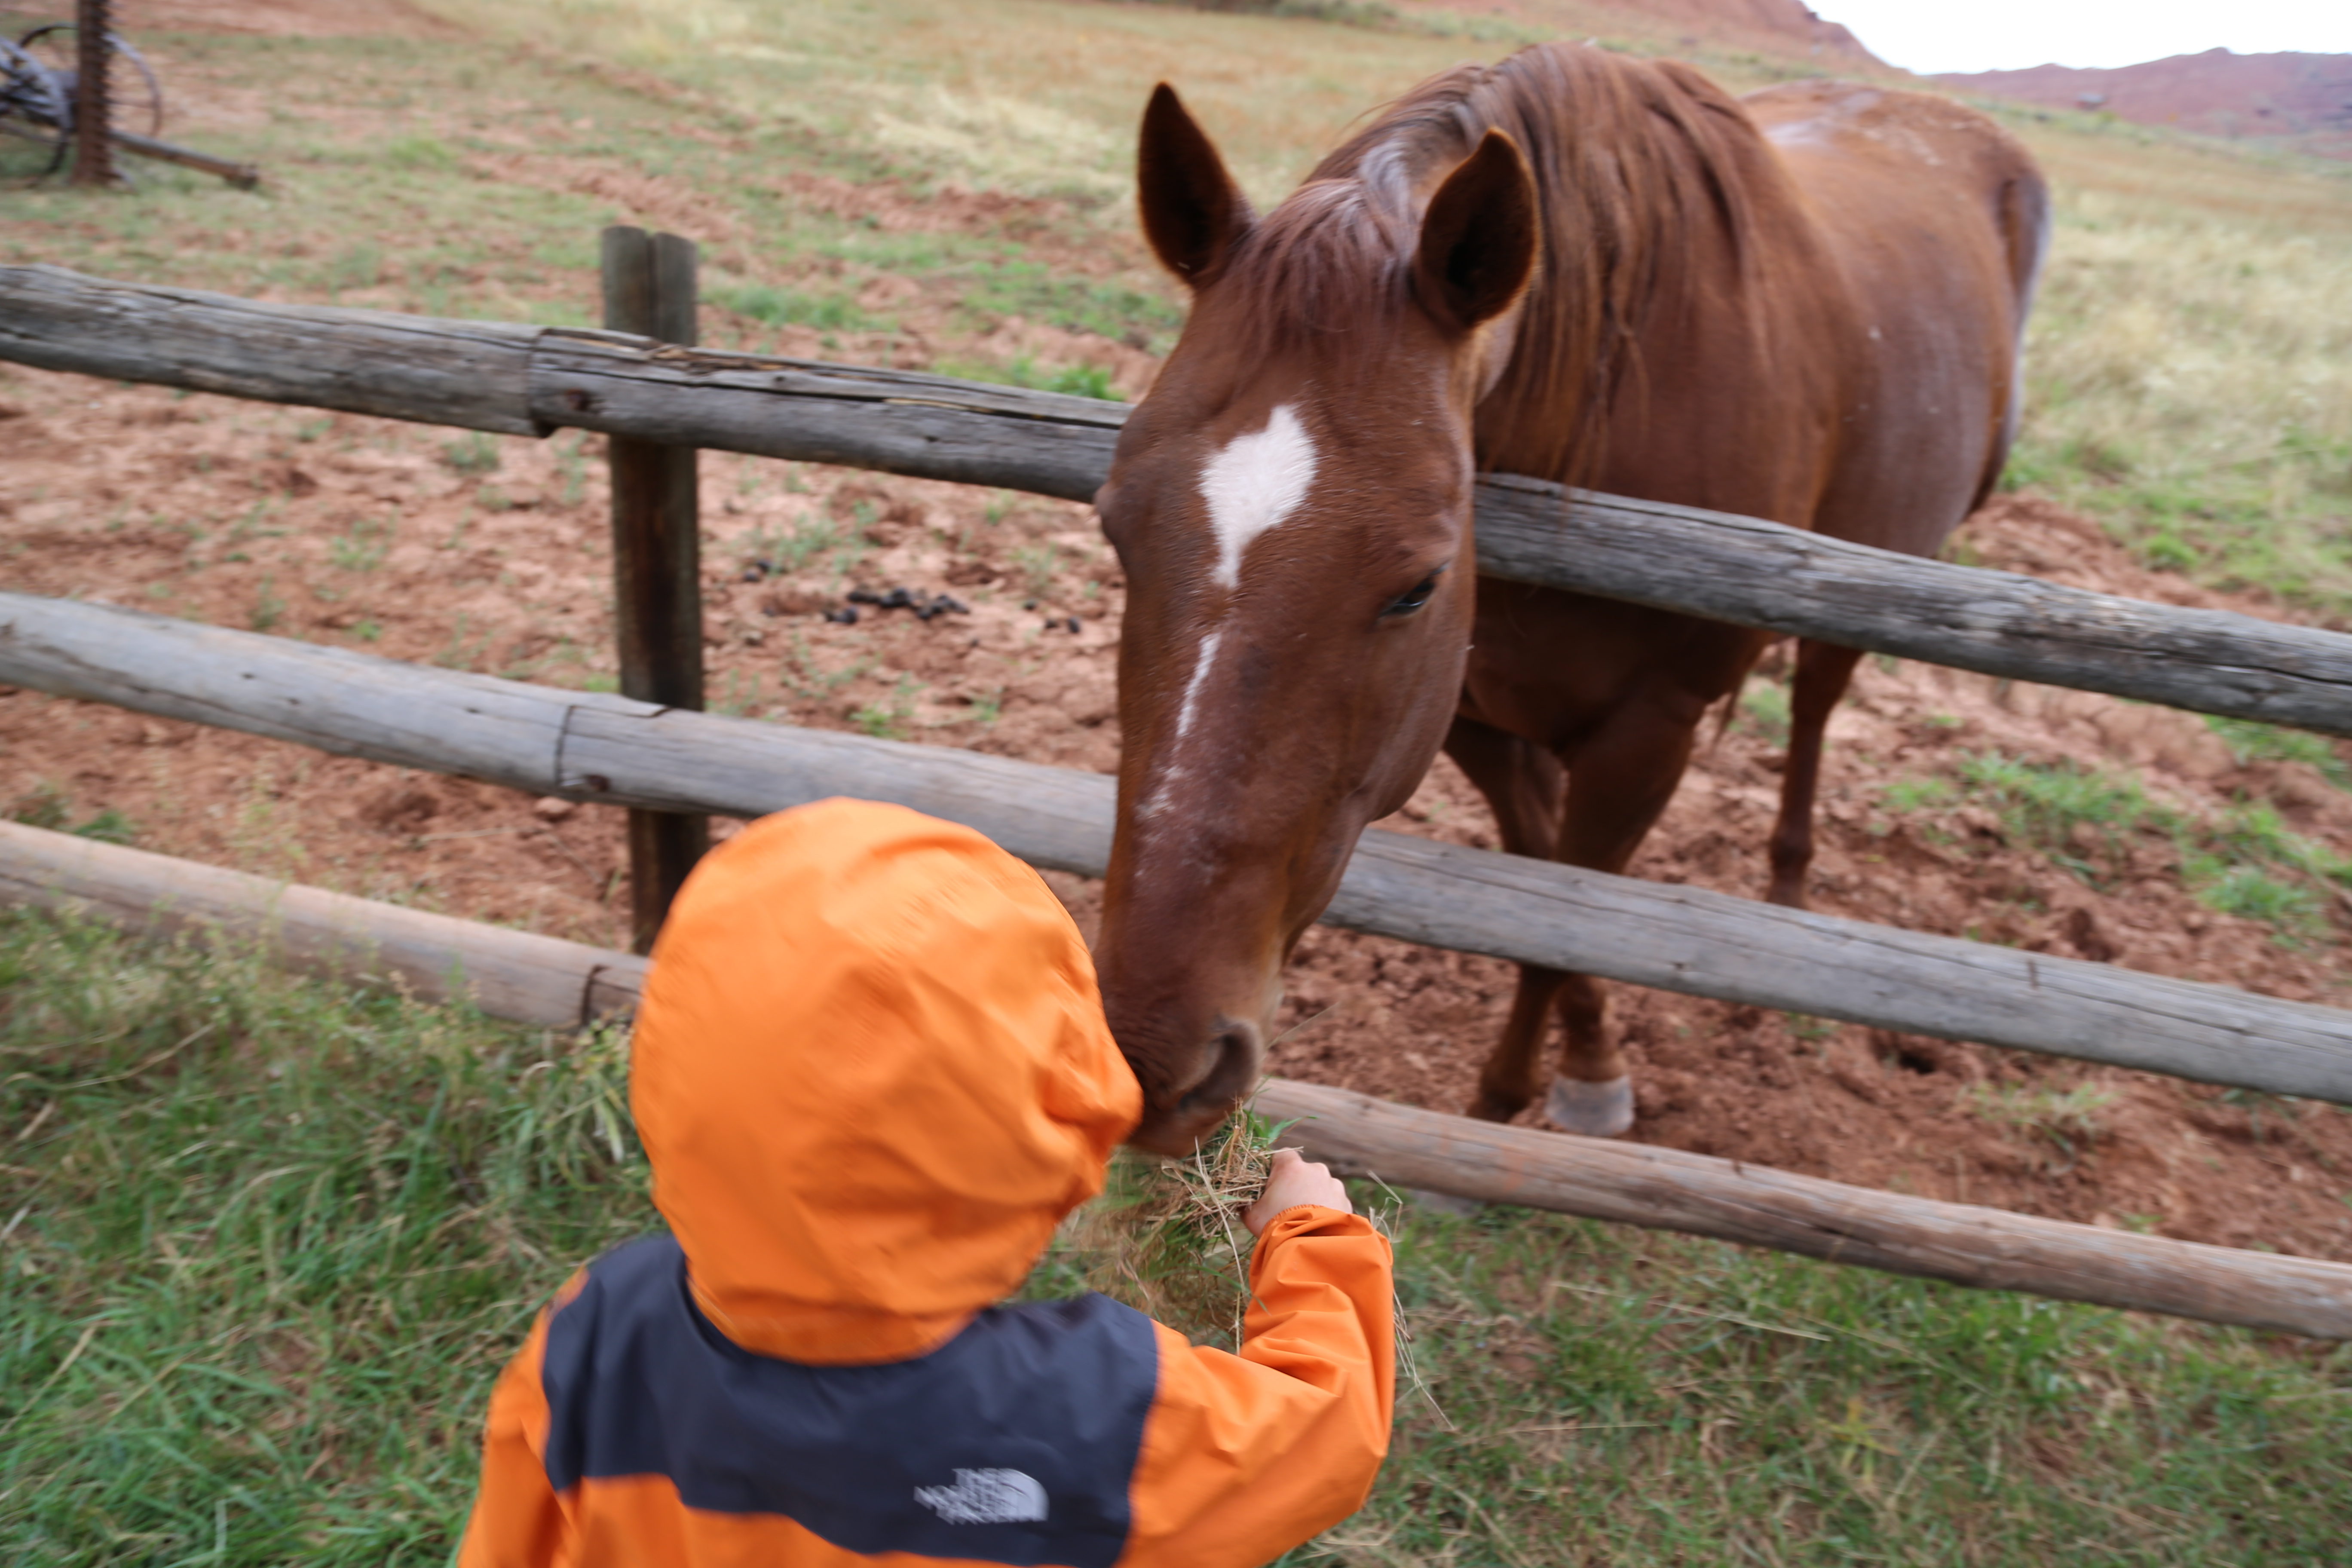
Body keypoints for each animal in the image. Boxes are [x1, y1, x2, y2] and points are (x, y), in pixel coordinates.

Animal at [1091, 46, 2051, 1152]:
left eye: (1418, 587)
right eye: (1114, 527)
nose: (1151, 1055)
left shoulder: (1649, 730)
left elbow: (1562, 914)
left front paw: (1528, 1096)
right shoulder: (1465, 713)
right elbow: (1542, 878)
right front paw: (1583, 1058)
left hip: (1886, 564)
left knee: (1814, 704)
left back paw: (1785, 894)